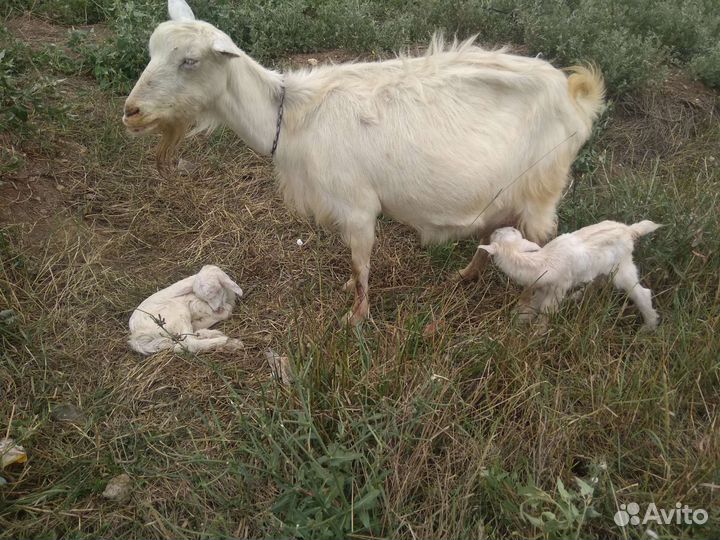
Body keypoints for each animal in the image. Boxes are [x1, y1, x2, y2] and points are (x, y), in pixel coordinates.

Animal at [123, 0, 605, 324]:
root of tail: (577, 96)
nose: (131, 112)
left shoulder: (357, 207)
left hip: (542, 191)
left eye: (190, 60)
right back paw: (464, 277)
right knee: (492, 231)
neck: (292, 117)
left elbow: (360, 263)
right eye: (151, 51)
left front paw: (355, 318)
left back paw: (528, 311)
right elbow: (355, 265)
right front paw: (348, 293)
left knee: (543, 253)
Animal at [478, 220, 661, 330]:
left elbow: (546, 311)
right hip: (603, 268)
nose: (495, 229)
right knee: (597, 283)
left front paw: (537, 333)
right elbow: (533, 304)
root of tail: (629, 230)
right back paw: (576, 296)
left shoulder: (558, 288)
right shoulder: (543, 287)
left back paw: (649, 326)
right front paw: (520, 320)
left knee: (642, 293)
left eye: (512, 230)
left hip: (622, 267)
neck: (541, 261)